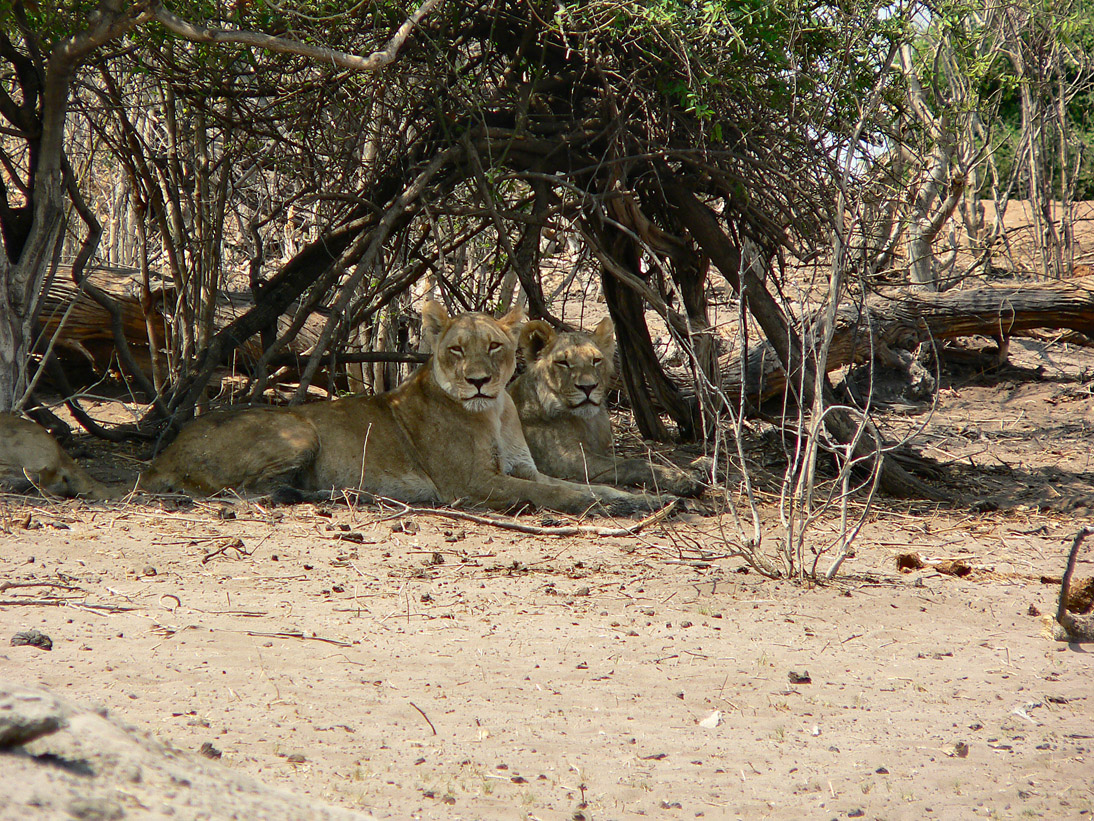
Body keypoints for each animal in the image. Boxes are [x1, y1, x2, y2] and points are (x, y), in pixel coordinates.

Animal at [136, 302, 665, 521]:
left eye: (495, 347)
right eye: (456, 350)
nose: (478, 381)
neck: (494, 412)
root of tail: (164, 452)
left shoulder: (525, 469)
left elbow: (585, 485)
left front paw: (638, 501)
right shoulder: (470, 484)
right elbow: (559, 496)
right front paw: (613, 506)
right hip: (300, 429)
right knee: (253, 493)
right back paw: (343, 495)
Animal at [505, 317, 704, 499]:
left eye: (596, 360)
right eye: (563, 362)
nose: (588, 387)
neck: (587, 421)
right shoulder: (564, 459)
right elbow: (631, 463)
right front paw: (684, 479)